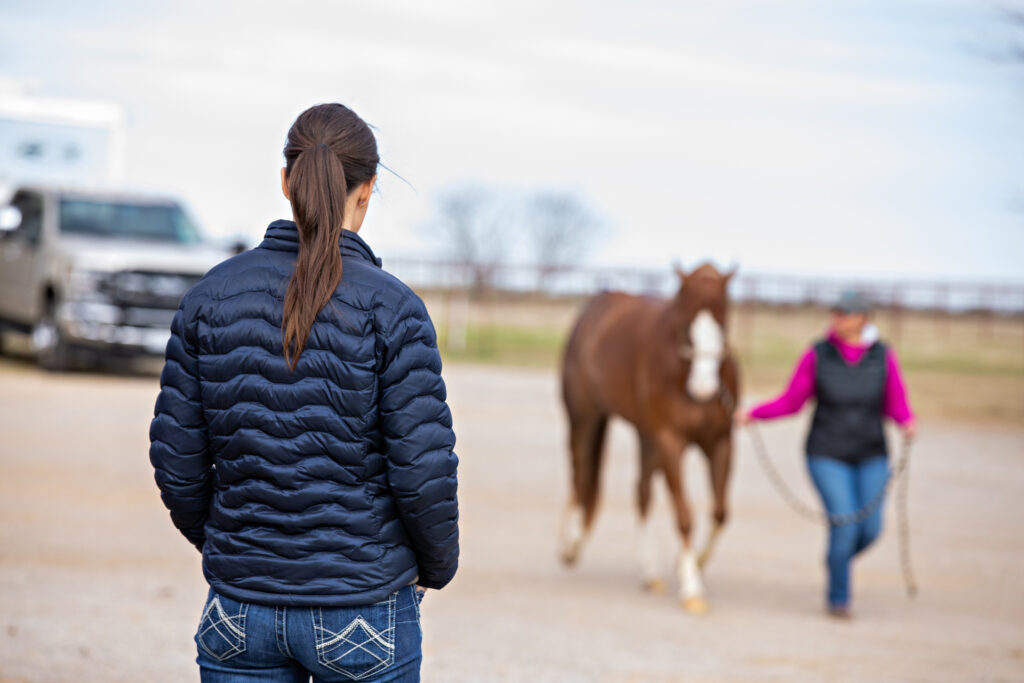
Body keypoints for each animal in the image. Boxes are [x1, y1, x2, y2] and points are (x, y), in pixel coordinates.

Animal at [558, 263, 739, 614]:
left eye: (723, 321)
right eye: (685, 323)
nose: (704, 389)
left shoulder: (721, 442)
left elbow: (720, 512)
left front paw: (691, 564)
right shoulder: (671, 441)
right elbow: (684, 515)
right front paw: (692, 588)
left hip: (646, 436)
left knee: (641, 493)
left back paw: (650, 573)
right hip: (585, 419)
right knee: (580, 473)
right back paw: (570, 546)